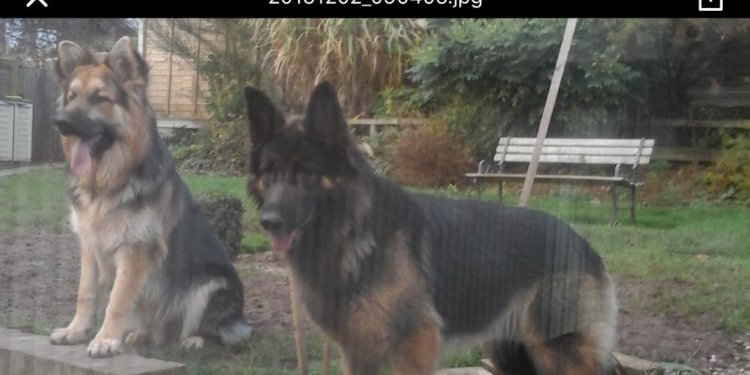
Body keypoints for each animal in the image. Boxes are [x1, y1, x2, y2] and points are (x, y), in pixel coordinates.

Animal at [49, 37, 253, 358]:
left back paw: (192, 340)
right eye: (72, 97)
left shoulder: (135, 249)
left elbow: (117, 300)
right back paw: (140, 335)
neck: (107, 182)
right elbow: (86, 294)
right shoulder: (90, 246)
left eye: (99, 98)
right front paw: (75, 332)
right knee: (156, 331)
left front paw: (106, 339)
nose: (60, 122)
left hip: (211, 283)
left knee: (208, 330)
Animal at [244, 83, 620, 375]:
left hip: (557, 353)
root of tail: (581, 242)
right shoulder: (356, 351)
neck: (353, 232)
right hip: (508, 350)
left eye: (305, 173)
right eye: (270, 173)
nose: (269, 221)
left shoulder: (414, 346)